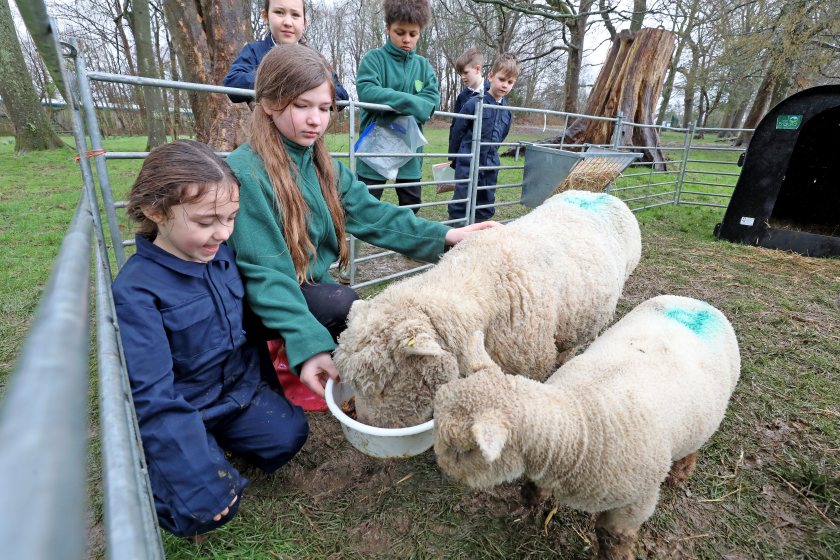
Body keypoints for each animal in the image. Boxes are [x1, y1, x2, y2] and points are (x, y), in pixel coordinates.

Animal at [434, 296, 740, 556]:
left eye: (462, 450)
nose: (442, 468)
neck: (579, 422)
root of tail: (698, 303)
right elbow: (534, 486)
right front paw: (530, 502)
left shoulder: (635, 503)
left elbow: (613, 538)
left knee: (692, 449)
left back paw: (680, 474)